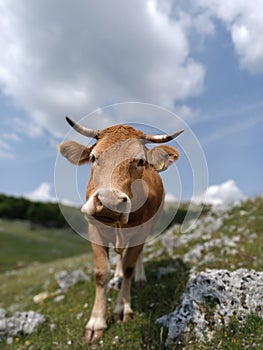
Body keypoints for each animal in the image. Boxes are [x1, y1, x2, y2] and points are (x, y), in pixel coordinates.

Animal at [59, 117, 185, 342]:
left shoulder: (141, 231)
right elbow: (101, 273)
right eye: (93, 157)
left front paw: (123, 308)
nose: (109, 202)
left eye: (141, 161)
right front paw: (96, 322)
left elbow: (129, 266)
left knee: (136, 256)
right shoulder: (94, 229)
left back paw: (140, 278)